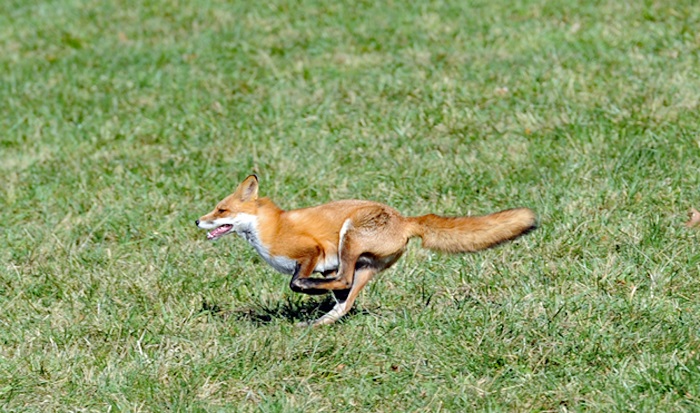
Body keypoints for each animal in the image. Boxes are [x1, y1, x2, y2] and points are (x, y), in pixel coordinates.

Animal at [196, 175, 536, 326]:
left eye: (221, 209)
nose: (197, 220)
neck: (271, 227)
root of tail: (405, 220)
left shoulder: (311, 250)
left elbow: (296, 280)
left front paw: (307, 286)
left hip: (349, 238)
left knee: (343, 283)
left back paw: (316, 297)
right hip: (365, 267)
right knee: (345, 300)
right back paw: (317, 323)